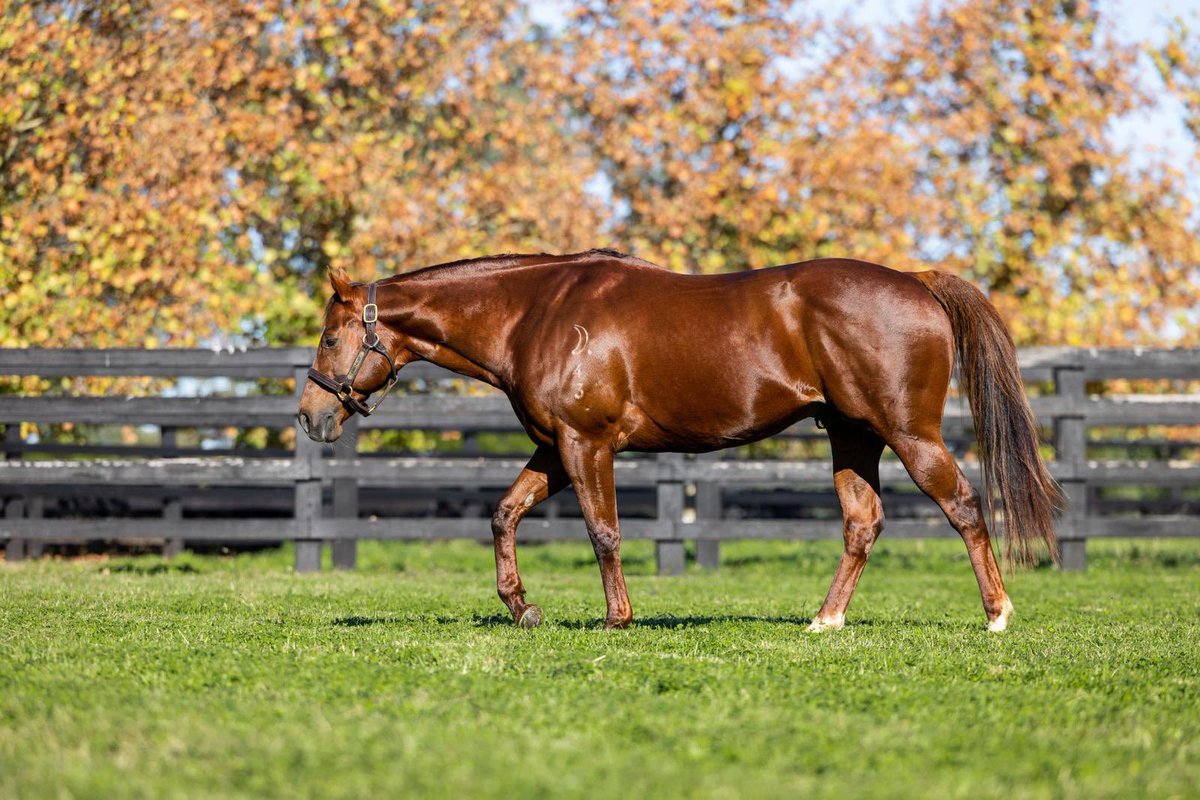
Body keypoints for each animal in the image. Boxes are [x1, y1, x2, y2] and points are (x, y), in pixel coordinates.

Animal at [297, 248, 1060, 633]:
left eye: (331, 336)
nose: (310, 416)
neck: (536, 312)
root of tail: (915, 281)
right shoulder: (554, 448)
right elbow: (504, 513)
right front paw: (522, 607)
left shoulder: (585, 445)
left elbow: (604, 533)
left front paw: (617, 619)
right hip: (852, 439)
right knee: (861, 523)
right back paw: (824, 621)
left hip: (908, 433)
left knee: (964, 507)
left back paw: (997, 615)